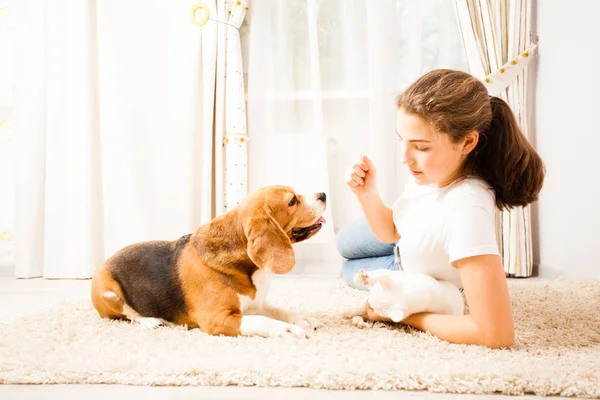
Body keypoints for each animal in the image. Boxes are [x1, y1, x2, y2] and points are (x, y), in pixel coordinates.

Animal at [92, 185, 328, 338]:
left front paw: (302, 319)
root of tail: (104, 262)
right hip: (109, 293)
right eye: (292, 200)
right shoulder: (217, 319)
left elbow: (279, 311)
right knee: (129, 314)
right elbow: (263, 320)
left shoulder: (256, 304)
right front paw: (287, 329)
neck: (248, 269)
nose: (323, 194)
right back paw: (149, 320)